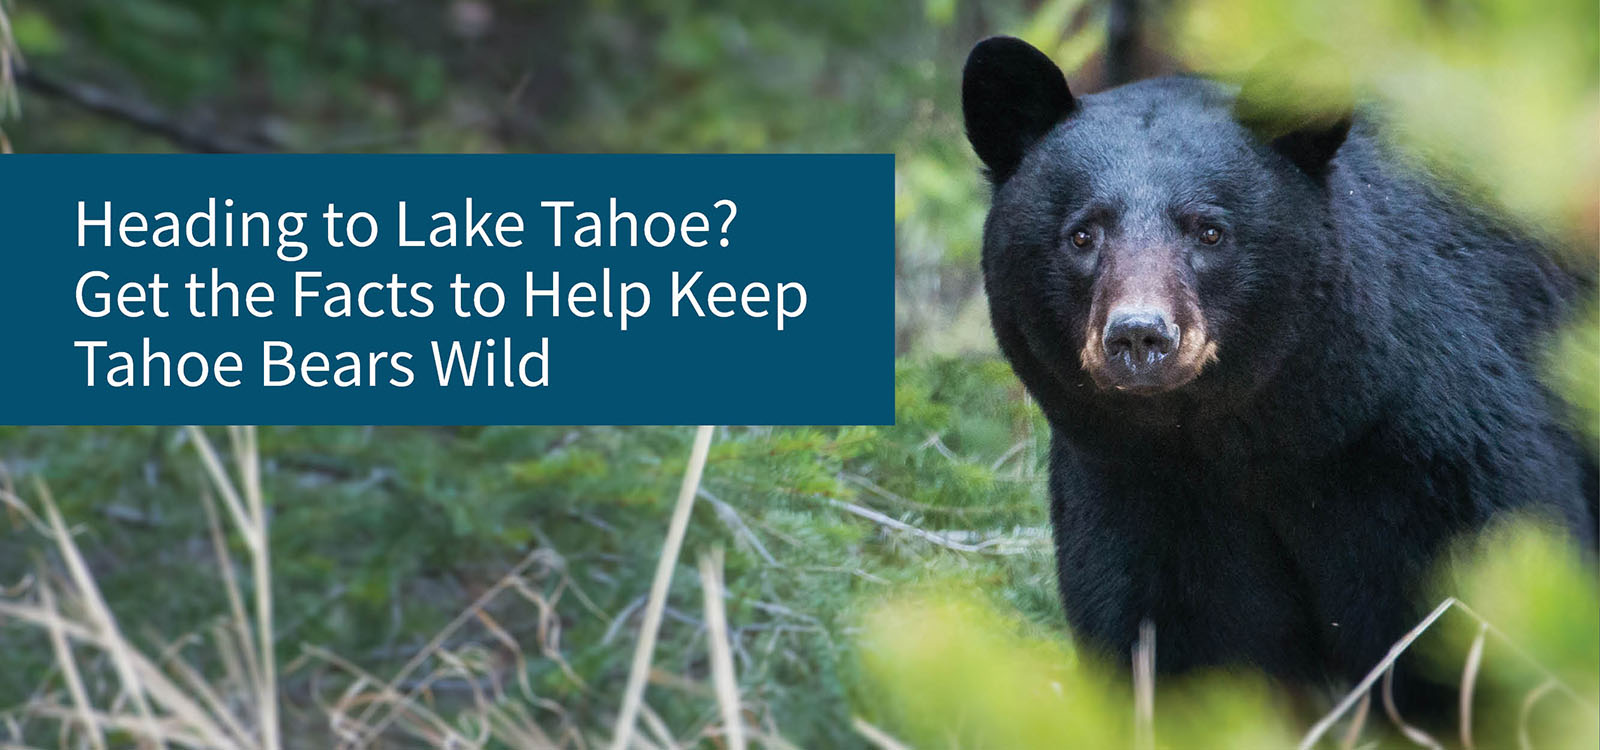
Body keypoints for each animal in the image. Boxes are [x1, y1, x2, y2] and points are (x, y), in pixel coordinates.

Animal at [961, 35, 1595, 720]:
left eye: (1209, 230)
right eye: (1083, 234)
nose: (1139, 335)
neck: (1257, 440)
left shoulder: (1436, 456)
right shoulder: (1139, 490)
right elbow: (1179, 645)